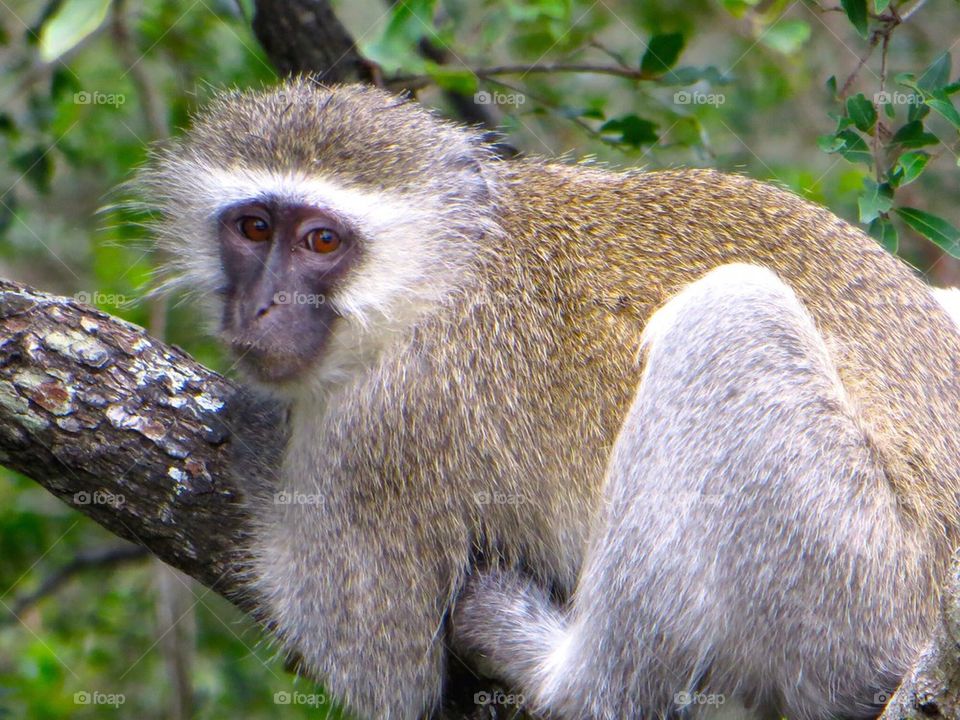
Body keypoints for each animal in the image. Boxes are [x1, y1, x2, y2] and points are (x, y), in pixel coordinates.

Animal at [137, 77, 960, 720]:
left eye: (321, 242)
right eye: (252, 229)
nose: (261, 307)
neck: (443, 274)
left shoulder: (385, 426)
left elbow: (375, 667)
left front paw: (257, 436)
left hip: (862, 585)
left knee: (725, 317)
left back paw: (569, 677)